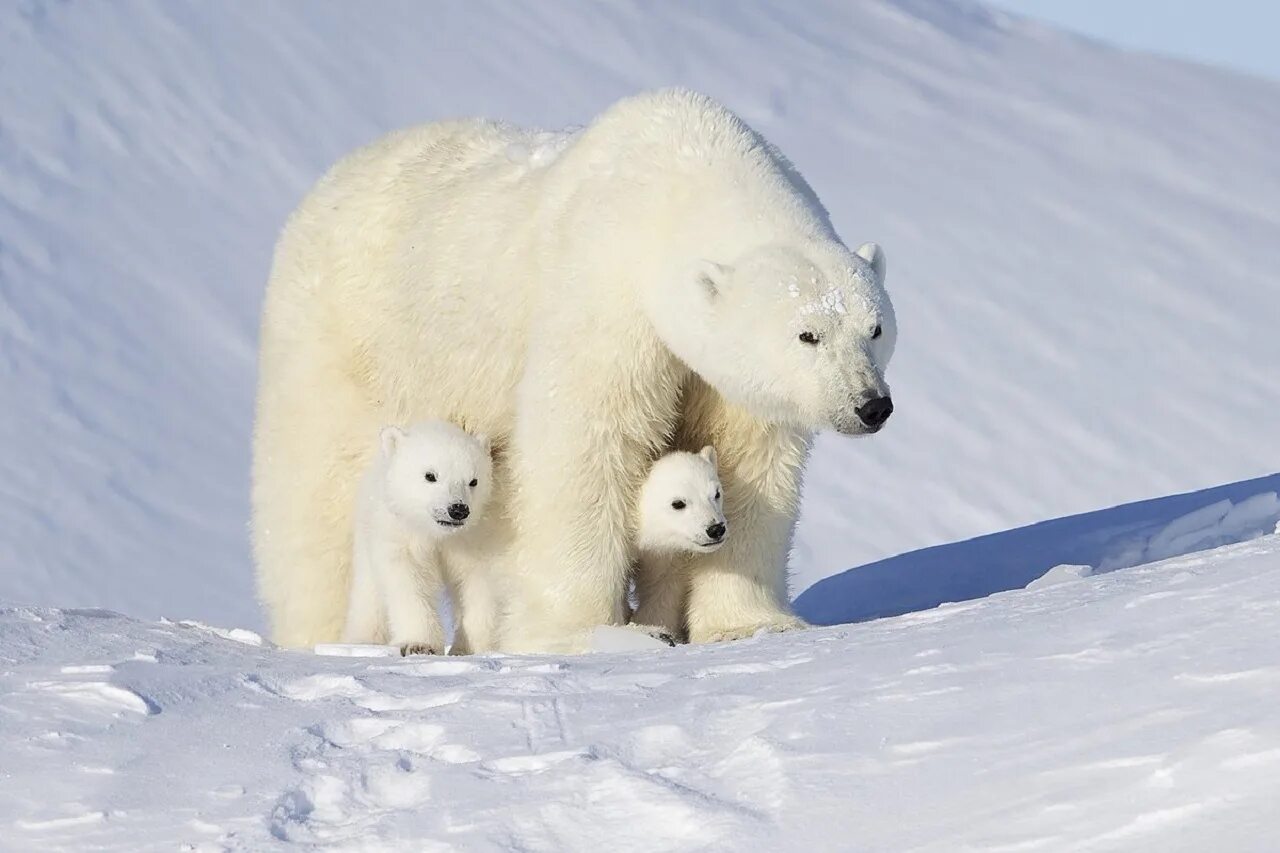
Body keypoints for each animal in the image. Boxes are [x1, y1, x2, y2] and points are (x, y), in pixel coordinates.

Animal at [340, 422, 499, 653]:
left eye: (473, 481)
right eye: (430, 475)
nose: (458, 509)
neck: (436, 534)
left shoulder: (474, 537)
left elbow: (477, 583)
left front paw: (471, 648)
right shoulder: (399, 534)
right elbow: (409, 581)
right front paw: (419, 644)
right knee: (369, 596)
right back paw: (362, 641)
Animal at [632, 445, 732, 637]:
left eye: (717, 493)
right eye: (678, 503)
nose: (715, 529)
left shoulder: (665, 556)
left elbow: (663, 587)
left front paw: (656, 625)